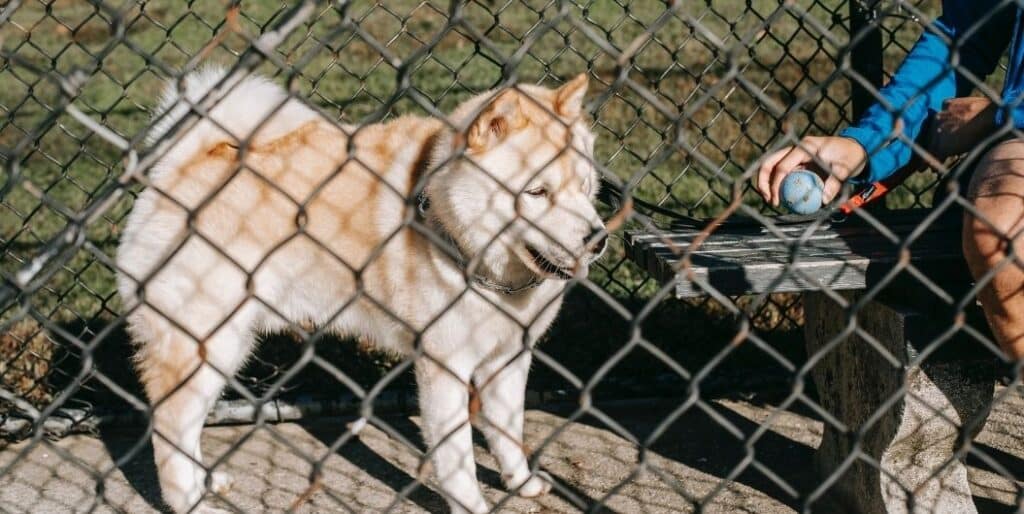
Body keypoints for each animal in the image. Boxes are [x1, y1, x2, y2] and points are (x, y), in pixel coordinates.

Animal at [114, 68, 606, 514]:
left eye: (584, 187)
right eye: (537, 192)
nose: (598, 238)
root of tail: (186, 161)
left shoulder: (508, 358)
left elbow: (508, 431)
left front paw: (521, 483)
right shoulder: (444, 368)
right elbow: (457, 459)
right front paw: (472, 505)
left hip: (228, 347)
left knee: (188, 427)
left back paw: (207, 483)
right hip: (204, 342)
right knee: (169, 426)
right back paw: (190, 503)